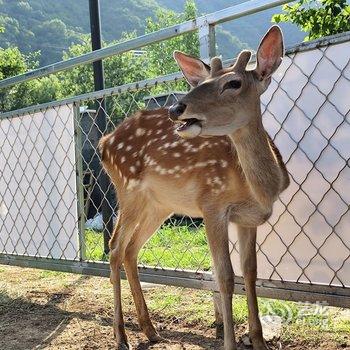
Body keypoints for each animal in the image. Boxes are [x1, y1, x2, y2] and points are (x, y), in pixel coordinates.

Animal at [99, 25, 290, 350]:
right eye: (203, 82)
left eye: (234, 83)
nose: (177, 107)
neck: (260, 189)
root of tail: (103, 143)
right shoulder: (212, 205)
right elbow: (225, 277)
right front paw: (230, 343)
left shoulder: (247, 219)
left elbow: (250, 273)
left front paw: (258, 340)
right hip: (128, 192)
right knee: (114, 248)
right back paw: (121, 336)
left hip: (159, 205)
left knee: (131, 249)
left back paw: (150, 330)